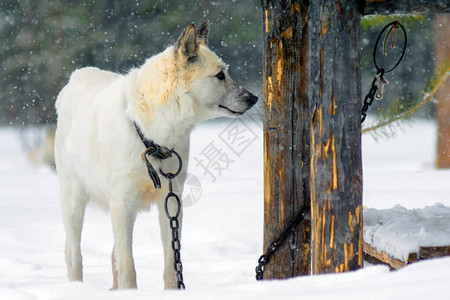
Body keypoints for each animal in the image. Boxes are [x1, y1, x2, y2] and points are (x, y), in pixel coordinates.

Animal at [53, 19, 256, 290]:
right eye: (220, 75)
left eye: (227, 73)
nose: (254, 98)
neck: (153, 139)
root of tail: (77, 76)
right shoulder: (122, 205)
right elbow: (129, 268)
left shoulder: (171, 202)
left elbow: (171, 264)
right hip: (74, 201)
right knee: (74, 253)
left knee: (113, 254)